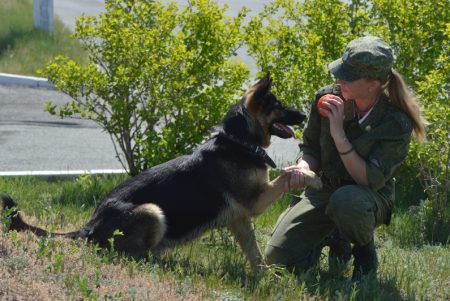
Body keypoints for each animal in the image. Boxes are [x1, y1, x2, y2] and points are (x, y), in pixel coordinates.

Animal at [1, 74, 322, 266]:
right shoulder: (254, 202)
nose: (305, 114)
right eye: (279, 105)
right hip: (153, 211)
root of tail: (88, 226)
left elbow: (254, 252)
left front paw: (266, 274)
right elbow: (286, 174)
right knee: (135, 256)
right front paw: (313, 178)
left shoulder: (241, 218)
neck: (238, 141)